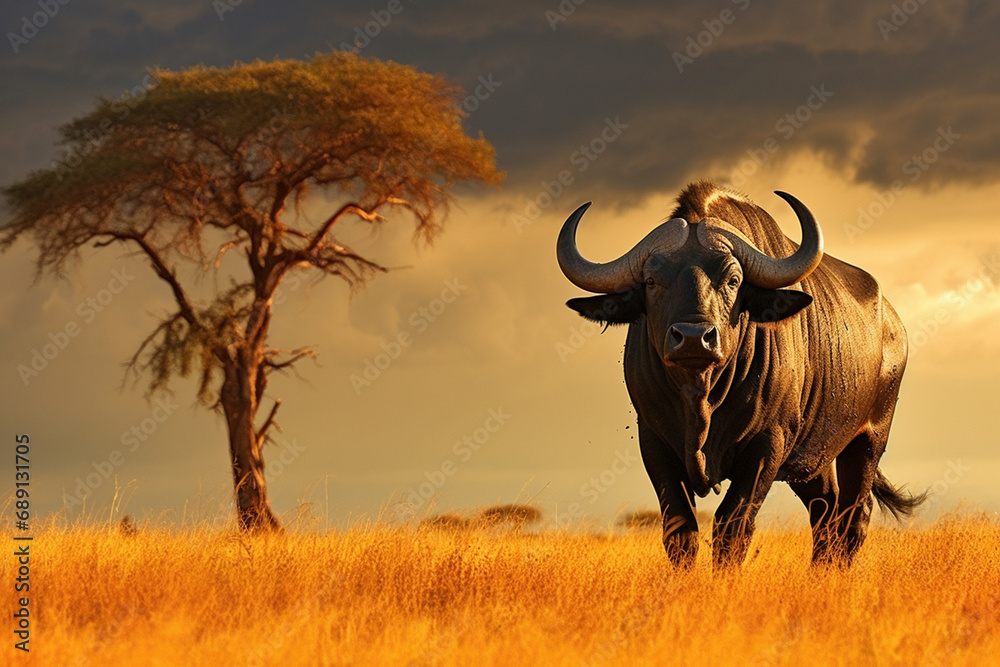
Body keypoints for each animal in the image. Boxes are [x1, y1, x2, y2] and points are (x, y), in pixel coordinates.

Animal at [557, 181, 925, 567]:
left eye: (733, 279)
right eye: (651, 280)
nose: (693, 337)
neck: (701, 399)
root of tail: (893, 324)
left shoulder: (767, 444)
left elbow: (731, 526)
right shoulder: (654, 441)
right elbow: (680, 531)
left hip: (868, 440)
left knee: (854, 516)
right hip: (814, 460)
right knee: (825, 513)